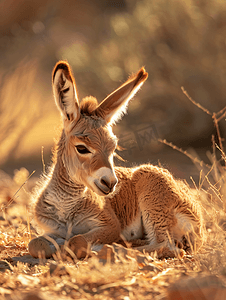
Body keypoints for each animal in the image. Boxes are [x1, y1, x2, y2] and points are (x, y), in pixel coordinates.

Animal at [28, 61, 205, 260]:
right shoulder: (51, 230)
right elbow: (36, 244)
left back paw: (111, 249)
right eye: (82, 148)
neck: (67, 207)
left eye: (113, 147)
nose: (110, 183)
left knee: (166, 246)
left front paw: (85, 247)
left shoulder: (109, 225)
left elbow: (77, 241)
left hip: (152, 194)